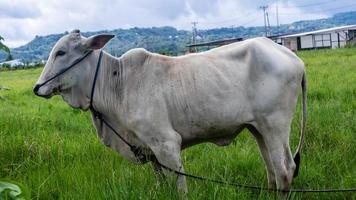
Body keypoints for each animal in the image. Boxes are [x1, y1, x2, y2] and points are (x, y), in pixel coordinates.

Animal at [34, 30, 306, 194]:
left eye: (61, 52)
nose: (37, 88)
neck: (117, 83)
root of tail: (294, 58)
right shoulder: (150, 150)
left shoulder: (166, 144)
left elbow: (180, 187)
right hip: (257, 128)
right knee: (272, 169)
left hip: (275, 125)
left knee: (284, 170)